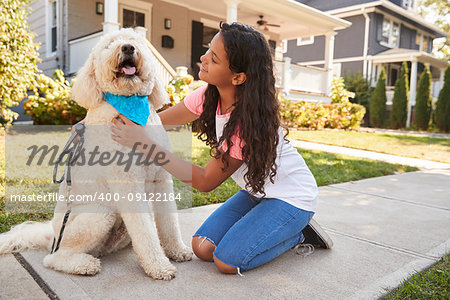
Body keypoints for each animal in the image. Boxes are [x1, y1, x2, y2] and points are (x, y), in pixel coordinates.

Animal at [0, 29, 192, 280]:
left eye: (136, 41)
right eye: (109, 44)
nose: (128, 47)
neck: (128, 106)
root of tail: (52, 236)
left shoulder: (161, 179)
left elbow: (169, 222)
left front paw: (176, 250)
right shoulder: (127, 183)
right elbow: (146, 232)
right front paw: (158, 266)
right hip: (99, 214)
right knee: (54, 258)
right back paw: (84, 264)